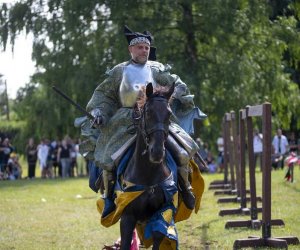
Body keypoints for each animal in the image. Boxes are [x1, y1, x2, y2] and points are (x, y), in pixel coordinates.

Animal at [119, 81, 176, 249]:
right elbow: (125, 242)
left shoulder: (164, 210)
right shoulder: (127, 216)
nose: (156, 152)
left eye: (169, 114)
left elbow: (158, 235)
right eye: (149, 113)